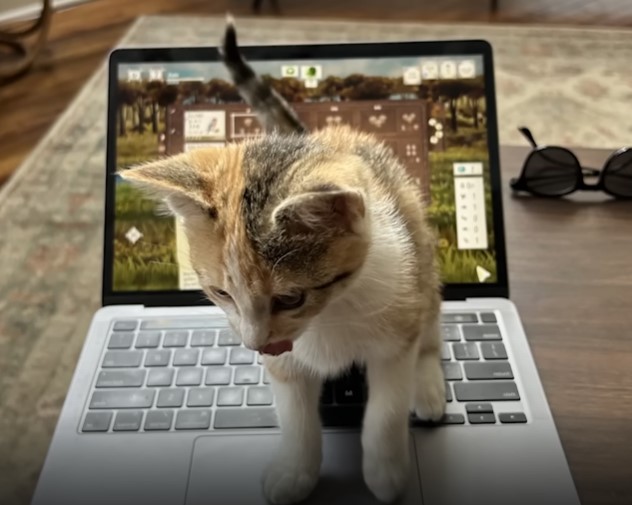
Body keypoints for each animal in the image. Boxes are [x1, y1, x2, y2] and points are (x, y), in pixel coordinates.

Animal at [122, 19, 444, 504]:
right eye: (221, 293)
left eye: (291, 298)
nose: (256, 345)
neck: (330, 314)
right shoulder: (284, 363)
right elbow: (295, 416)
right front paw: (295, 472)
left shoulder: (396, 324)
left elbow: (387, 408)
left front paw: (386, 472)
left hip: (422, 258)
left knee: (429, 324)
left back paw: (427, 384)